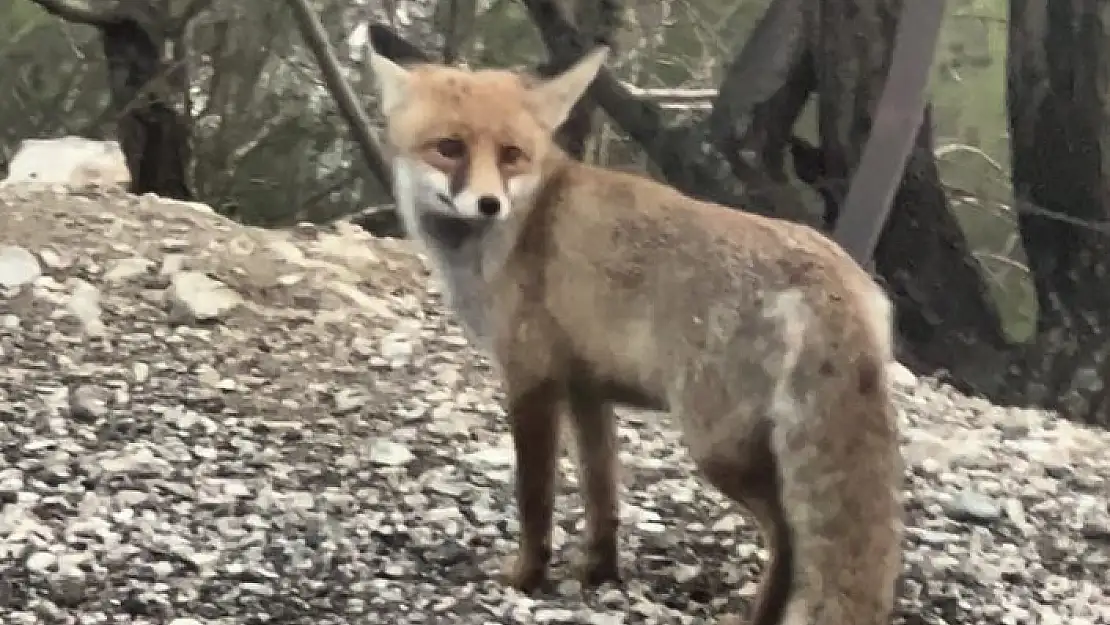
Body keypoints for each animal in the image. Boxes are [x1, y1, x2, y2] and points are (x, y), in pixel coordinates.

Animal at [368, 44, 905, 625]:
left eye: (512, 155)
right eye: (449, 148)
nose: (490, 204)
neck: (514, 232)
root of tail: (841, 277)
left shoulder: (530, 379)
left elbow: (535, 499)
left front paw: (526, 577)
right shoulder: (587, 390)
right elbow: (602, 492)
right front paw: (599, 571)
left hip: (716, 447)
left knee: (789, 535)